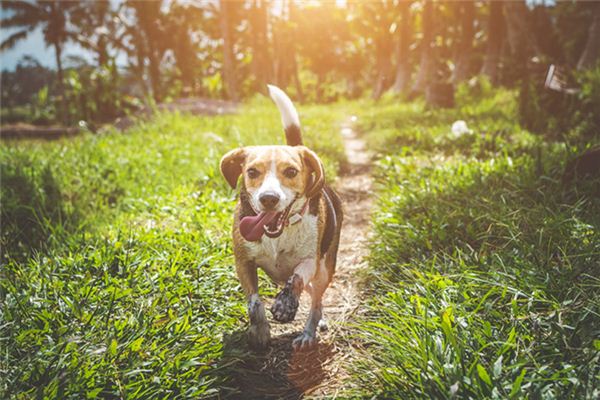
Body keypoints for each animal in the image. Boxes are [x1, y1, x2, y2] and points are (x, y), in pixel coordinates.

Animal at [220, 85, 342, 350]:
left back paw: (308, 332)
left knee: (315, 301)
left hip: (325, 270)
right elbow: (254, 302)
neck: (279, 234)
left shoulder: (310, 261)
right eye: (252, 172)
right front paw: (260, 331)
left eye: (291, 171)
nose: (269, 198)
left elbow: (295, 279)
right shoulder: (243, 262)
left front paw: (285, 305)